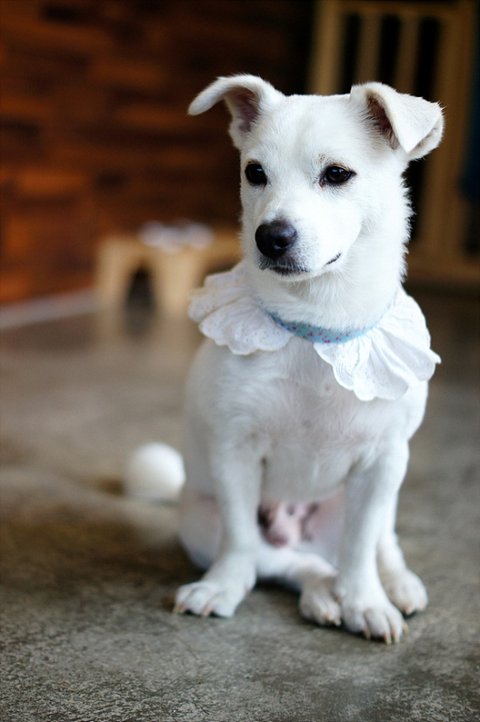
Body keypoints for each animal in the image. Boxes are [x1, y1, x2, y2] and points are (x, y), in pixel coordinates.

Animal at [170, 75, 443, 643]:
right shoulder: (235, 453)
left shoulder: (381, 464)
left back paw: (395, 583)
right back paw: (320, 596)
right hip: (199, 520)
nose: (270, 237)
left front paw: (367, 600)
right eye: (254, 173)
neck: (319, 327)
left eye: (337, 174)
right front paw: (223, 586)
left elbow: (360, 549)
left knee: (373, 544)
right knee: (293, 565)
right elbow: (240, 541)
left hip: (374, 495)